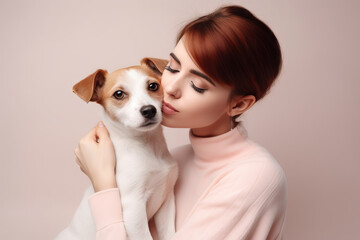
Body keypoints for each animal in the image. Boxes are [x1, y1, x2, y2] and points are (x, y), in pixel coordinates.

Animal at [56, 57, 179, 240]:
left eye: (153, 86)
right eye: (119, 94)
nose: (149, 110)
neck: (148, 147)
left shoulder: (166, 201)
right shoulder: (133, 208)